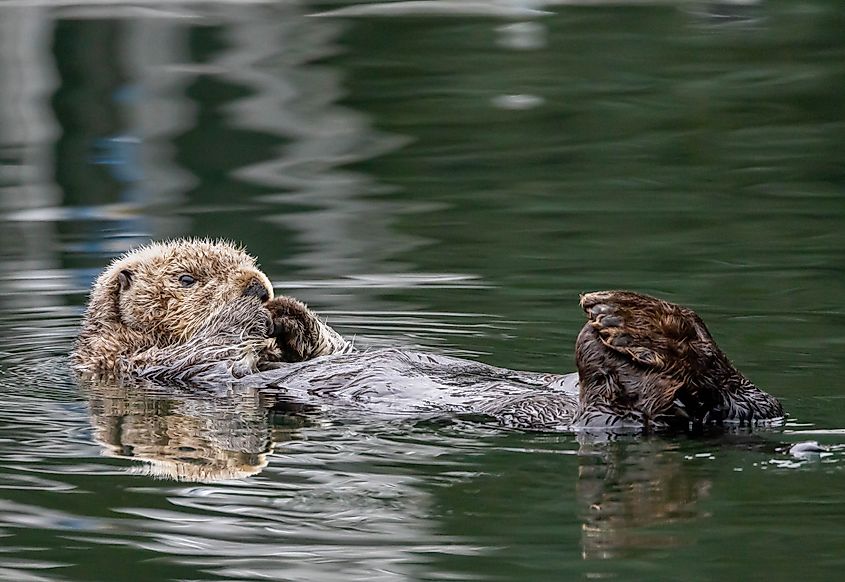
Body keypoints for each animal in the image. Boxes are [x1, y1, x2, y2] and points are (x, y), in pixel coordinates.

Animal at [73, 239, 784, 431]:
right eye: (189, 276)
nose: (258, 286)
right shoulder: (140, 367)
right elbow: (211, 354)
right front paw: (256, 319)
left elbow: (334, 346)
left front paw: (291, 315)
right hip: (606, 408)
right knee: (633, 403)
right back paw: (619, 326)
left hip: (725, 402)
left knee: (747, 401)